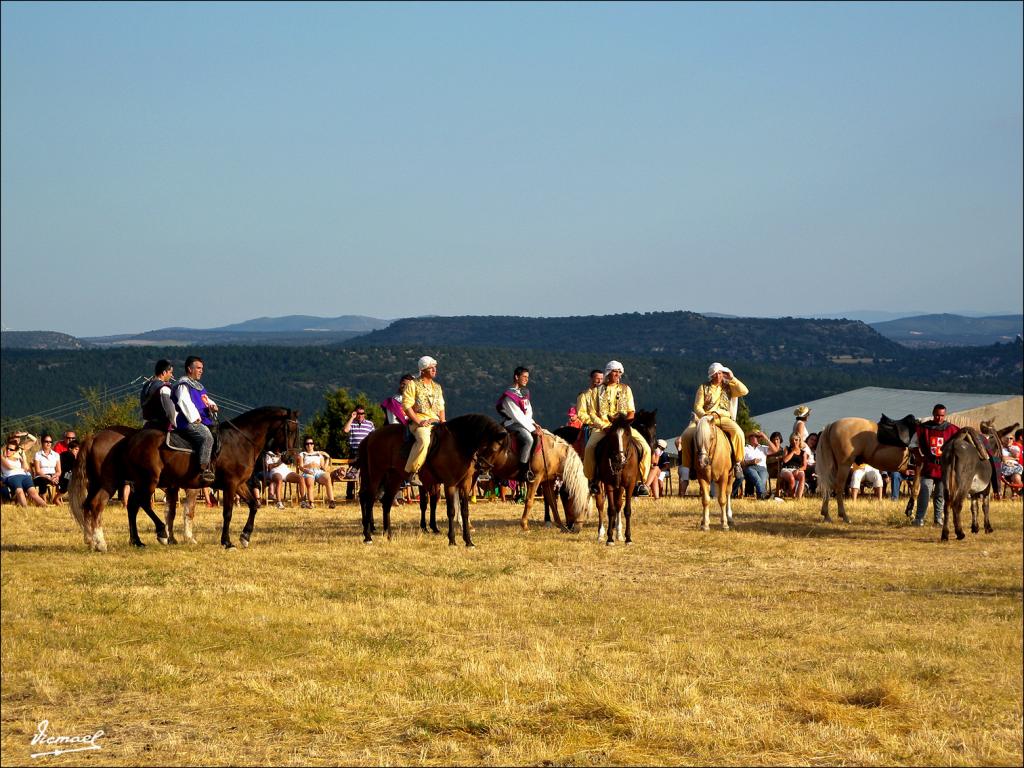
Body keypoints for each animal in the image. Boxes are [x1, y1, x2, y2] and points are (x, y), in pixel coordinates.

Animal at [79, 405, 296, 548]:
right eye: (290, 429)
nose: (290, 457)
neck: (240, 440)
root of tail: (130, 440)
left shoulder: (240, 484)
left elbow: (254, 505)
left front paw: (245, 536)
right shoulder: (230, 484)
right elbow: (227, 513)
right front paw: (227, 541)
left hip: (135, 482)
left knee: (131, 506)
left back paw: (135, 541)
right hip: (146, 480)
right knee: (140, 503)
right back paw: (158, 533)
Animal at [356, 415, 507, 548]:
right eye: (494, 449)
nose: (484, 469)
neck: (458, 444)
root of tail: (371, 436)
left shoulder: (465, 484)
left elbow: (464, 511)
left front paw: (468, 541)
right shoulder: (449, 484)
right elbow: (451, 511)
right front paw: (452, 540)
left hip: (394, 477)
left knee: (386, 502)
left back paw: (388, 535)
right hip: (376, 475)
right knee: (369, 499)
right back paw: (368, 536)